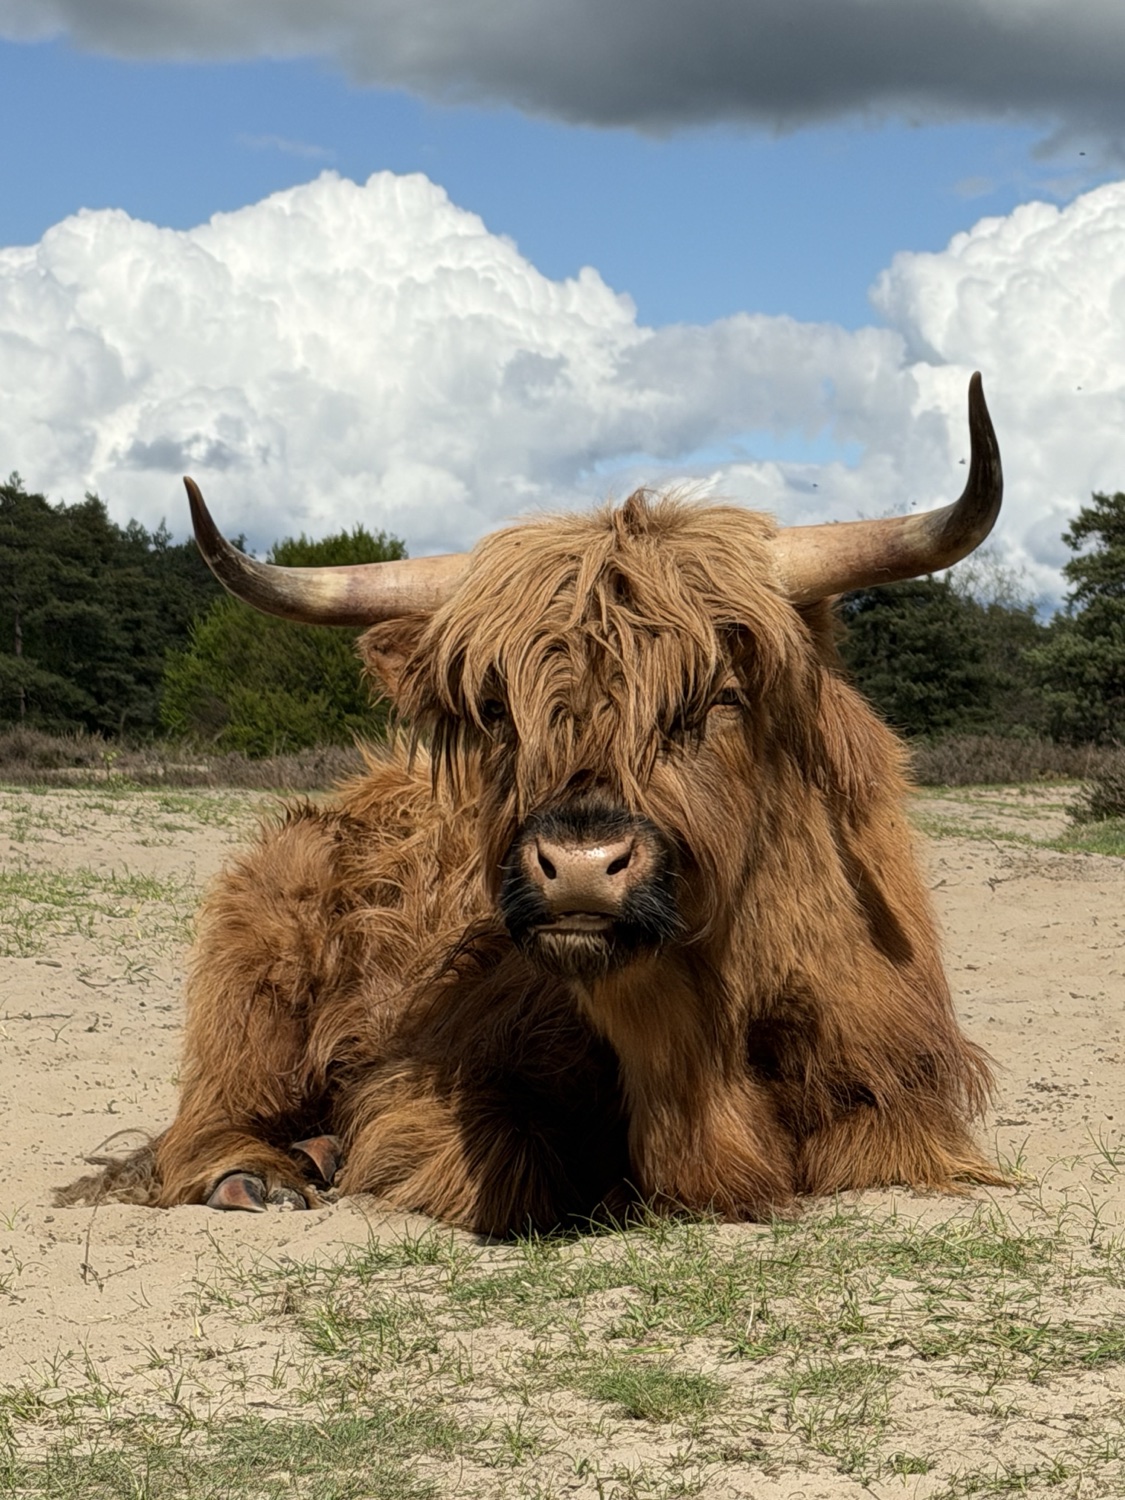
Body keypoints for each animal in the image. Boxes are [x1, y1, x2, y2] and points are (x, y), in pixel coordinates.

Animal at [61, 375, 1005, 1235]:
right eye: (495, 708)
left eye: (718, 696)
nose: (580, 865)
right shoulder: (424, 1079)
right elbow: (507, 1164)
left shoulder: (903, 1091)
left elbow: (867, 1145)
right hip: (254, 954)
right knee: (209, 1113)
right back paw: (258, 1172)